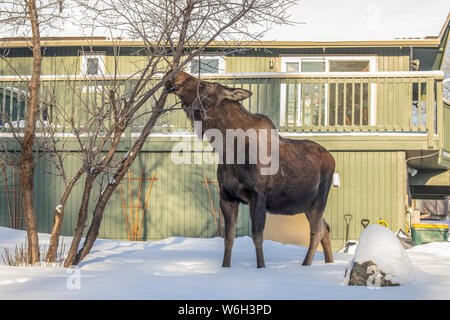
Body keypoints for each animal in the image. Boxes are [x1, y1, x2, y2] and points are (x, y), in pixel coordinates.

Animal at [164, 70, 334, 268]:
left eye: (204, 85)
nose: (174, 74)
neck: (227, 148)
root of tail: (332, 159)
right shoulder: (227, 197)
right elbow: (228, 239)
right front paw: (225, 268)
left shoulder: (258, 196)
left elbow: (257, 237)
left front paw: (261, 268)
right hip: (306, 204)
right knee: (325, 228)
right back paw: (329, 263)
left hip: (319, 200)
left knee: (316, 232)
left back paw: (306, 265)